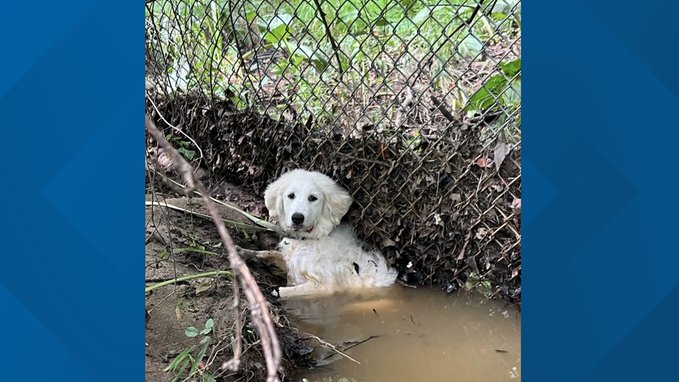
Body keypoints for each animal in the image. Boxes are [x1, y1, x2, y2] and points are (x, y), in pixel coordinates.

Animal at [248, 170, 398, 298]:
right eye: (291, 196)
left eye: (313, 198)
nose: (297, 218)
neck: (309, 239)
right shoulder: (292, 264)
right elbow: (271, 253)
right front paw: (250, 253)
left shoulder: (325, 285)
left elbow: (285, 291)